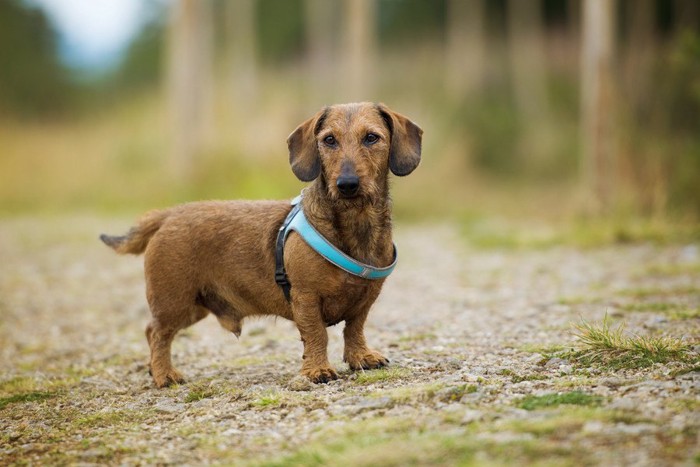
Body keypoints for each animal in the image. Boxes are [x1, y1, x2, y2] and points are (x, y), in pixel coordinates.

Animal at [99, 102, 422, 388]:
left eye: (371, 137)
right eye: (329, 140)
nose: (347, 184)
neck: (354, 223)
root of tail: (167, 215)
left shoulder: (365, 300)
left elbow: (354, 329)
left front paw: (361, 357)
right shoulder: (305, 298)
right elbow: (317, 334)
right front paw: (317, 370)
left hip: (192, 306)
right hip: (174, 301)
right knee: (156, 333)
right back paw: (164, 374)